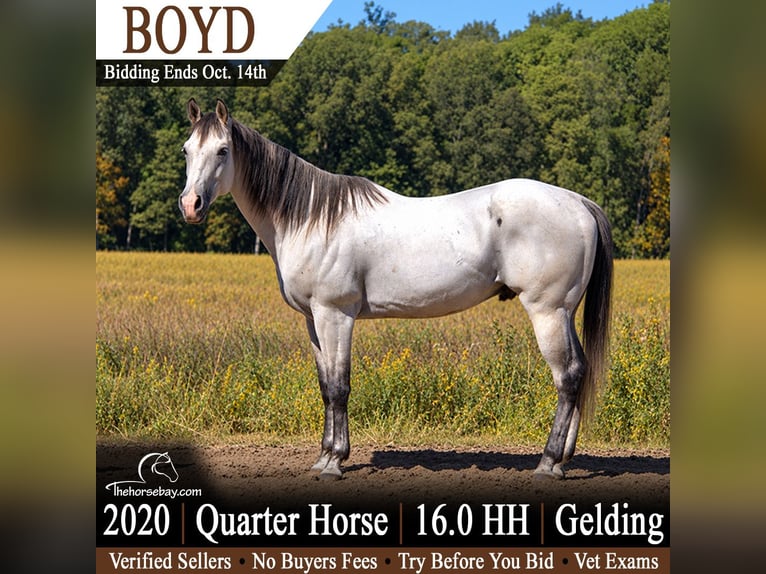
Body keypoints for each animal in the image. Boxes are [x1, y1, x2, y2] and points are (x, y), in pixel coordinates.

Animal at [179, 98, 613, 481]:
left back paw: (547, 463)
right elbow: (324, 387)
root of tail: (578, 202)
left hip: (547, 311)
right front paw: (323, 457)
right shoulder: (313, 321)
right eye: (187, 150)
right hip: (564, 312)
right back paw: (563, 460)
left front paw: (335, 462)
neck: (311, 219)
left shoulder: (335, 315)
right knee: (580, 371)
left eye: (222, 150)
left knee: (568, 376)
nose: (190, 205)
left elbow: (339, 386)